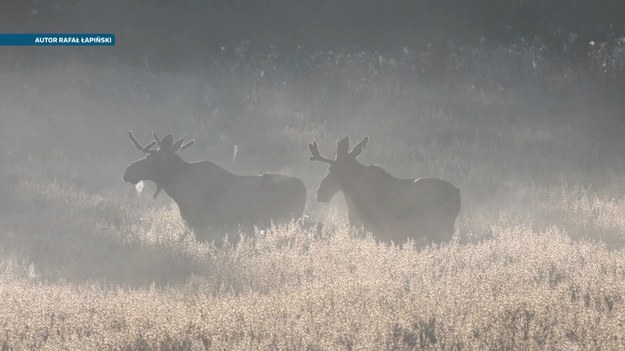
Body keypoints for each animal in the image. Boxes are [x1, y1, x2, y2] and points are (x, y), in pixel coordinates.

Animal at [122, 131, 308, 246]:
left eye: (149, 157)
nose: (127, 171)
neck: (178, 189)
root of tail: (305, 188)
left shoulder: (201, 223)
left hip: (286, 218)